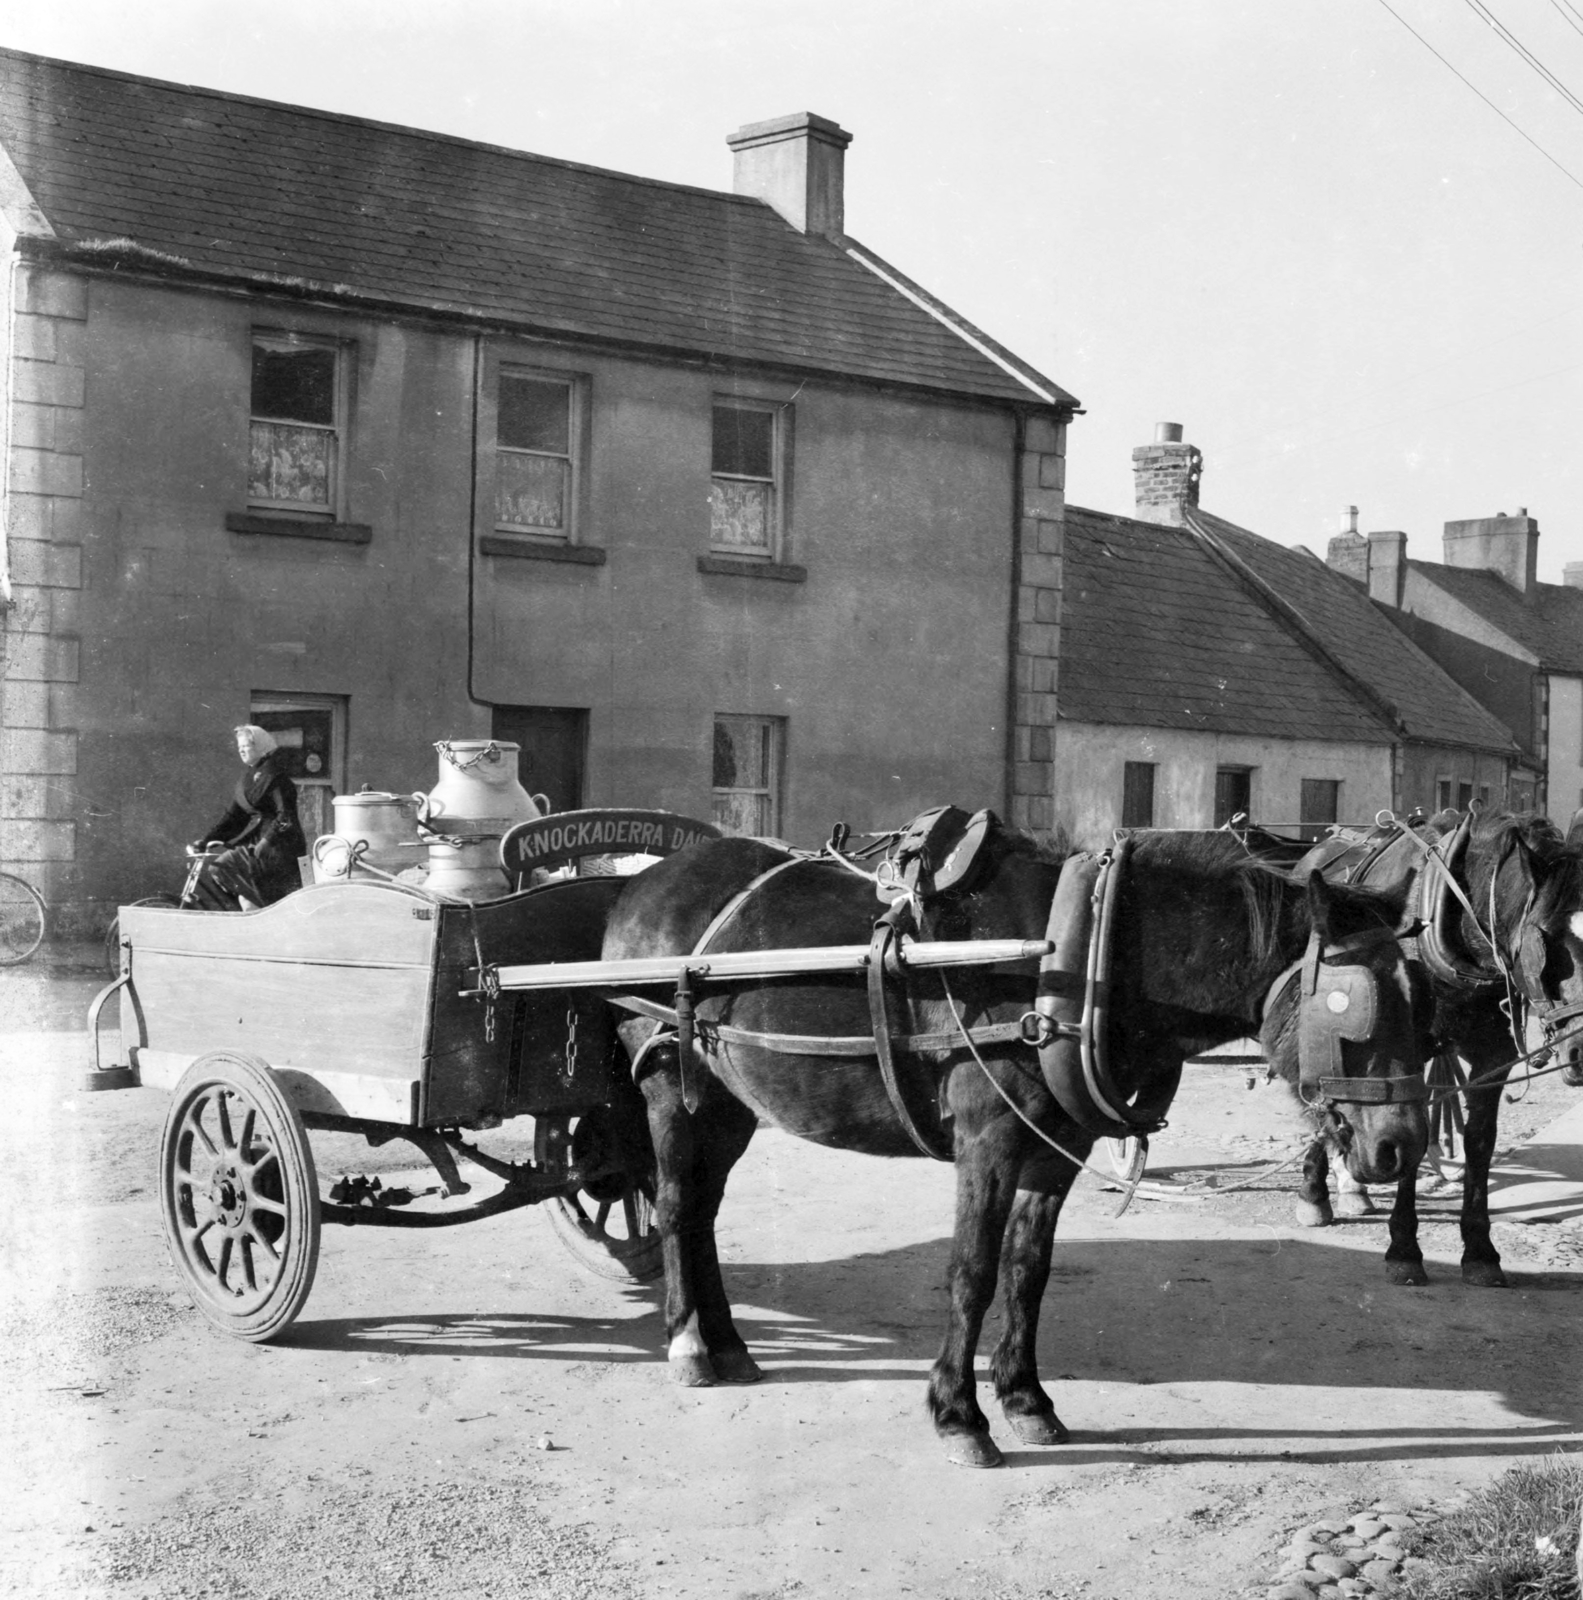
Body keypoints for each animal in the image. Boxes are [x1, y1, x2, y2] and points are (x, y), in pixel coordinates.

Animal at [595, 819, 1434, 1465]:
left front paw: (1026, 1399)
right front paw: (957, 1415)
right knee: (675, 1205)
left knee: (703, 1214)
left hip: (726, 1104)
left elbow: (1027, 1271)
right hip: (669, 1090)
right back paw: (689, 1347)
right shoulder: (989, 1141)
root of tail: (642, 885)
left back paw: (729, 1345)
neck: (1080, 962)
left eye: (1418, 998)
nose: (1400, 1146)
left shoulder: (1053, 1151)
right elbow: (971, 1271)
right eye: (1353, 1006)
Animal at [1286, 812, 1581, 1286]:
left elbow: (1479, 1141)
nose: (1581, 1052)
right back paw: (1316, 1194)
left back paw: (1354, 1187)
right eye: (1546, 942)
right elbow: (1416, 1132)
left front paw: (1480, 1250)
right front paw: (1405, 1249)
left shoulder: (1494, 1054)